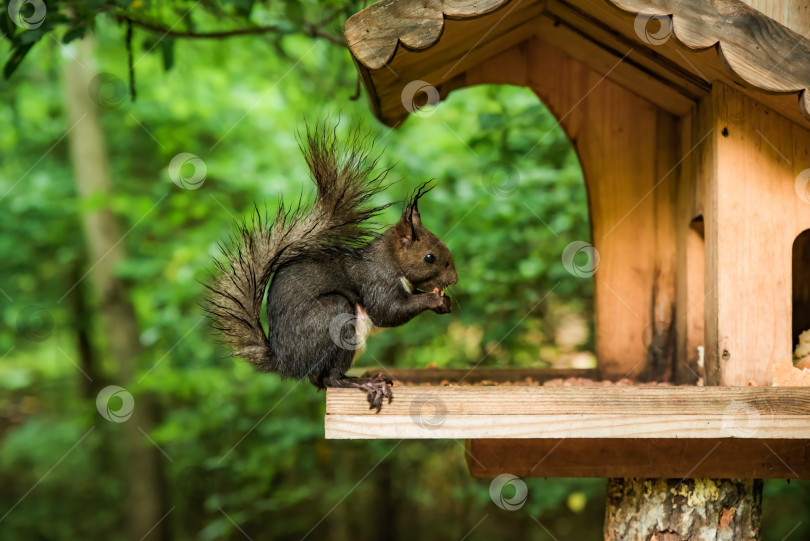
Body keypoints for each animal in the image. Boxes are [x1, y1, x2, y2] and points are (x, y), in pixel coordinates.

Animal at [204, 126, 454, 412]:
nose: (454, 279)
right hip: (334, 318)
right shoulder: (377, 281)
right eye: (429, 257)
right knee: (332, 378)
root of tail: (286, 362)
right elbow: (388, 312)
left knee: (320, 379)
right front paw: (435, 300)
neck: (390, 259)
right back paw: (365, 383)